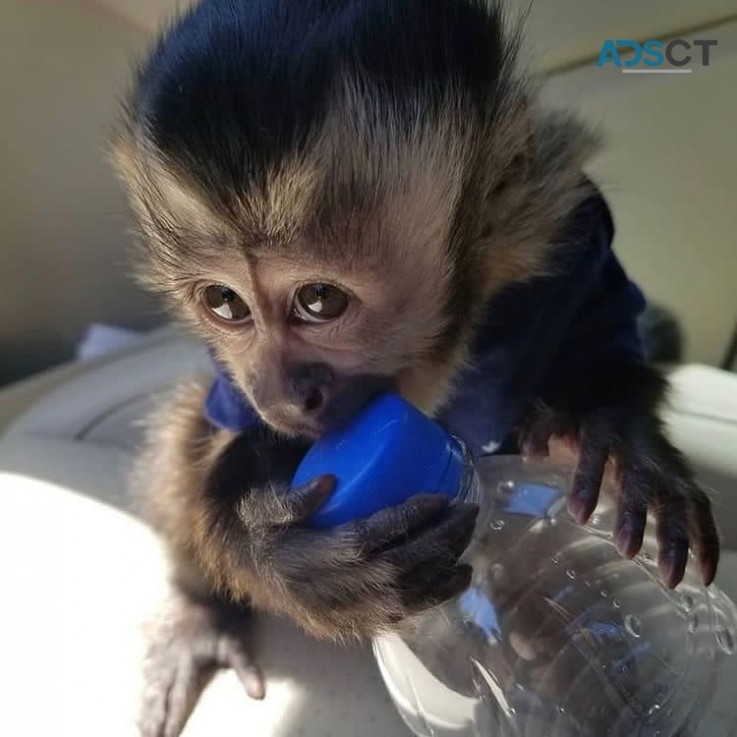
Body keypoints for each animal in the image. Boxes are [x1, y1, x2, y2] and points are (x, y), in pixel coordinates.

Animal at [109, 1, 720, 736]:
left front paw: (616, 430)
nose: (282, 394)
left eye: (320, 300)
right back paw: (205, 615)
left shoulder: (564, 223)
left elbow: (600, 322)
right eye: (224, 303)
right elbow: (225, 435)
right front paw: (280, 555)